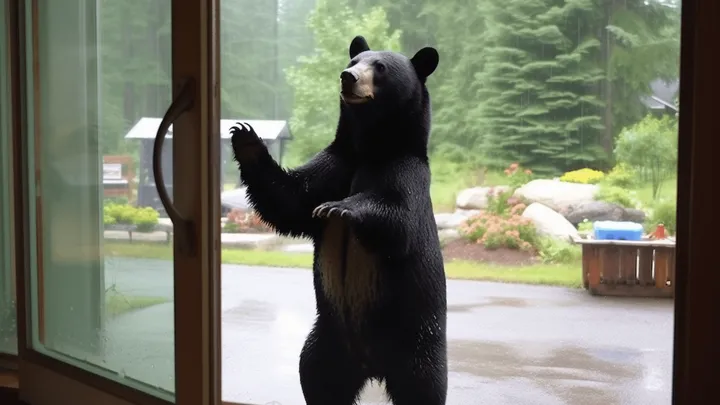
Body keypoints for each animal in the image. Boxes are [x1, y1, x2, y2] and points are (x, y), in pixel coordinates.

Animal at [229, 35, 447, 405]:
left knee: (423, 387)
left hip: (417, 341)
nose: (348, 77)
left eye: (380, 67)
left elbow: (399, 220)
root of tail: (371, 366)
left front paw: (340, 208)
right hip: (326, 342)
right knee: (317, 378)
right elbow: (291, 200)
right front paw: (245, 138)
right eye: (355, 60)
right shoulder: (336, 165)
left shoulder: (407, 172)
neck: (369, 148)